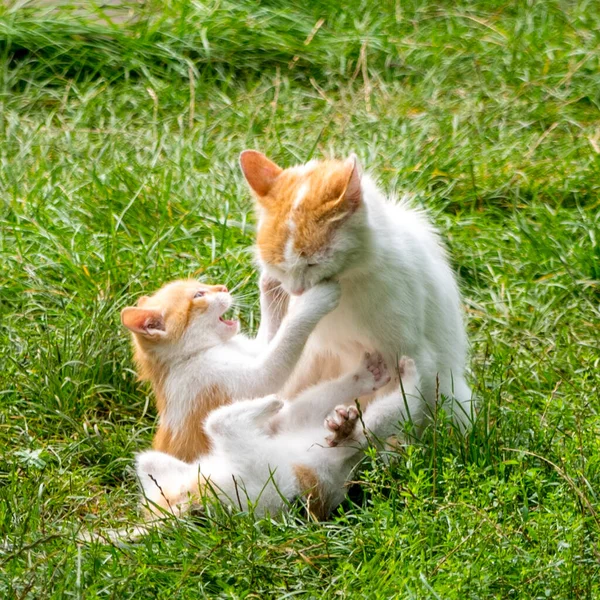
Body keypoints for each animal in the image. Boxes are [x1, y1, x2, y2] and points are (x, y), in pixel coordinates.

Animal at [119, 274, 340, 462]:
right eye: (199, 295)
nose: (223, 287)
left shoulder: (251, 351)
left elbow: (268, 338)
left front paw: (271, 283)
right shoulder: (213, 379)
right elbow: (277, 355)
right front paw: (313, 301)